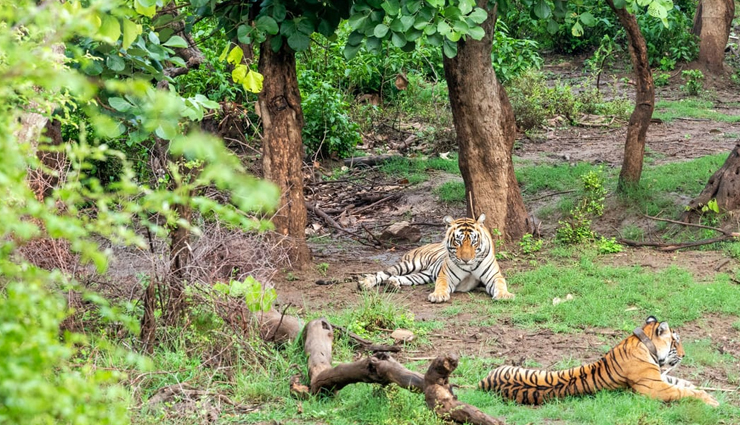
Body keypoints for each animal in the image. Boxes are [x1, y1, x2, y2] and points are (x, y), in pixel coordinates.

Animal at [358, 214, 514, 303]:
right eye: (458, 241)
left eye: (473, 242)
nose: (466, 260)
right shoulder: (445, 276)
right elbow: (441, 285)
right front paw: (438, 296)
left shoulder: (494, 276)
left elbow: (500, 284)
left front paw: (504, 295)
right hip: (409, 264)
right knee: (382, 273)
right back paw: (365, 283)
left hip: (422, 276)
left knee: (399, 277)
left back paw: (392, 284)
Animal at [478, 316, 719, 407]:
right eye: (676, 342)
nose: (685, 355)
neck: (642, 342)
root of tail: (482, 383)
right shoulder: (655, 387)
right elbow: (682, 391)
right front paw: (710, 400)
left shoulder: (660, 378)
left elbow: (682, 383)